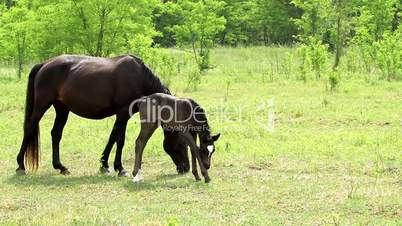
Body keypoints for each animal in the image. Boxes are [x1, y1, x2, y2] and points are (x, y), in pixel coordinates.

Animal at [16, 54, 189, 177]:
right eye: (183, 143)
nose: (186, 168)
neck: (139, 77)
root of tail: (44, 64)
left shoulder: (121, 115)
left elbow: (113, 137)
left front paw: (105, 164)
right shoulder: (123, 113)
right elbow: (120, 140)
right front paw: (120, 168)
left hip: (62, 109)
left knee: (56, 134)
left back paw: (60, 167)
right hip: (42, 105)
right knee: (30, 128)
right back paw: (20, 166)